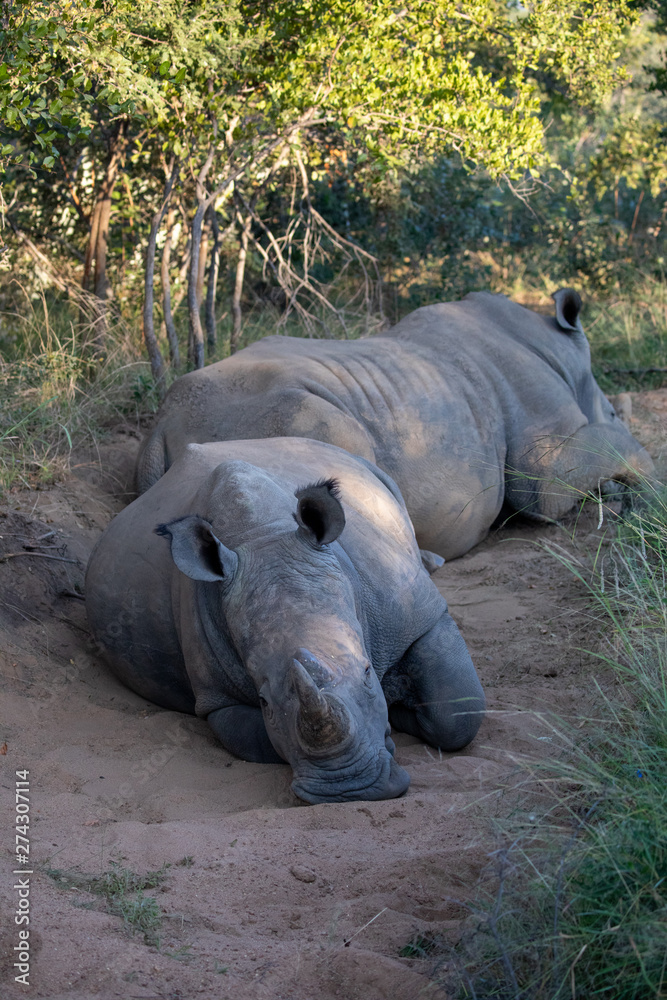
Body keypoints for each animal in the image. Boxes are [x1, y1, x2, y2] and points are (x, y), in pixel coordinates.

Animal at [86, 437, 484, 803]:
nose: (350, 790)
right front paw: (395, 716)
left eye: (368, 671)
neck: (263, 535)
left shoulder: (418, 614)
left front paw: (399, 706)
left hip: (368, 472)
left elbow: (458, 713)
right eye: (263, 701)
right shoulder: (217, 699)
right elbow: (263, 740)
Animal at [136, 289, 654, 560]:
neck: (561, 351)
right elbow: (569, 472)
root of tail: (160, 428)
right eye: (611, 410)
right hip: (276, 417)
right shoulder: (543, 455)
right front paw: (649, 493)